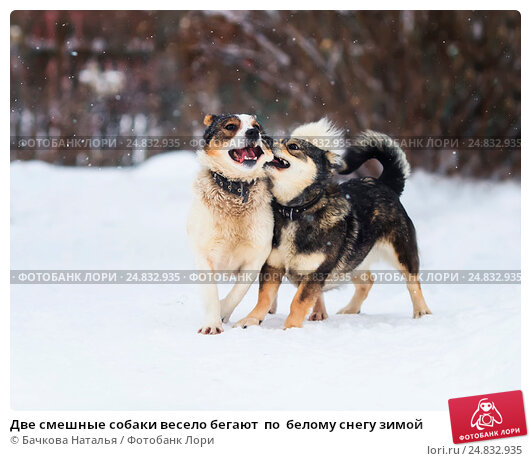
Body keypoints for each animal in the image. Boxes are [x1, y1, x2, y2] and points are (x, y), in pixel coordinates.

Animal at [188, 113, 274, 332]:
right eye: (230, 126)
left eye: (257, 127)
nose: (253, 133)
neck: (236, 188)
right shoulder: (205, 255)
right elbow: (211, 294)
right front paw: (212, 324)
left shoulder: (256, 257)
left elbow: (237, 293)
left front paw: (223, 311)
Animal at [237, 118, 432, 328]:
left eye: (293, 146)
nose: (264, 138)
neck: (295, 211)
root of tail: (384, 183)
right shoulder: (272, 267)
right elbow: (264, 298)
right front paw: (250, 320)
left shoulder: (315, 273)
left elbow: (298, 302)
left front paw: (290, 327)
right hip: (354, 259)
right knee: (367, 282)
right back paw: (349, 310)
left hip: (401, 252)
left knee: (413, 282)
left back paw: (422, 312)